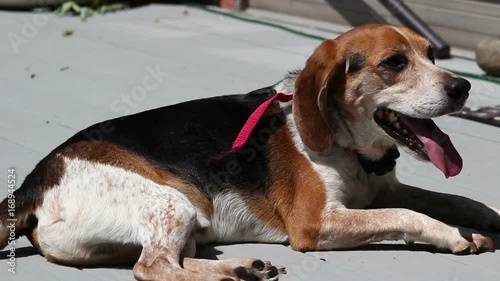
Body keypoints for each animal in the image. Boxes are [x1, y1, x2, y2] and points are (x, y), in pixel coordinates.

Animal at [0, 24, 500, 280]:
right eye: (394, 63)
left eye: (432, 55)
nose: (463, 87)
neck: (347, 145)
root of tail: (34, 182)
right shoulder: (315, 223)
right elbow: (407, 215)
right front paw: (453, 235)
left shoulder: (383, 190)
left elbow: (460, 201)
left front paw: (483, 219)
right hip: (172, 202)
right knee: (153, 268)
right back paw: (236, 272)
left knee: (163, 259)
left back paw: (245, 266)